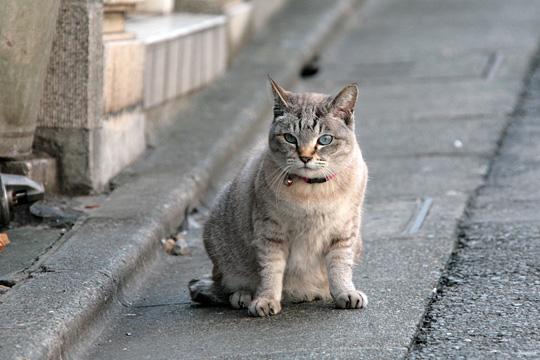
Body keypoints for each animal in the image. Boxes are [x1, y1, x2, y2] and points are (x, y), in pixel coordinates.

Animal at [188, 77, 370, 316]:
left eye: (325, 140)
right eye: (290, 138)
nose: (305, 157)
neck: (313, 191)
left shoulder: (344, 232)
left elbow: (340, 269)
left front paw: (345, 294)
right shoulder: (270, 234)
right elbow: (271, 272)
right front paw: (265, 301)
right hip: (219, 241)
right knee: (224, 285)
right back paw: (244, 297)